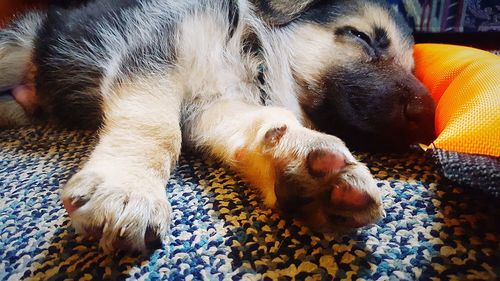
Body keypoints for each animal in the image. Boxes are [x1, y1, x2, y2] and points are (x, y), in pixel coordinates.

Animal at [0, 0, 434, 252]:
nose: (429, 116)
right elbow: (155, 126)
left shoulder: (212, 108)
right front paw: (127, 187)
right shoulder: (156, 54)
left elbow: (264, 121)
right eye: (361, 36)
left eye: (413, 65)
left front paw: (300, 161)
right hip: (16, 45)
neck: (251, 54)